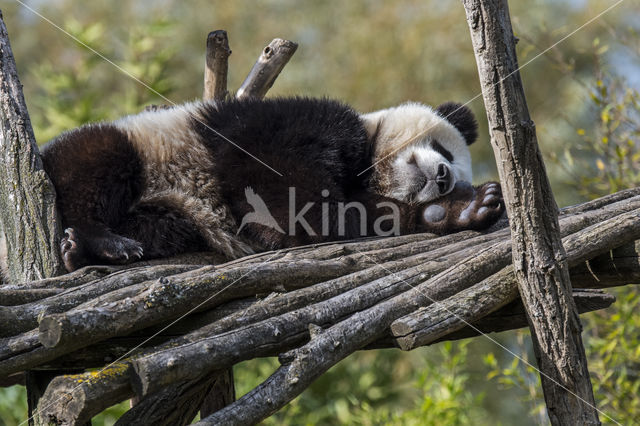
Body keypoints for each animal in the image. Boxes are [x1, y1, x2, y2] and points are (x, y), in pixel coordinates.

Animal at [5, 95, 504, 272]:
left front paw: (457, 210)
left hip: (174, 214)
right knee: (95, 162)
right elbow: (282, 196)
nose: (442, 178)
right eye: (444, 151)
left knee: (162, 225)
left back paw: (90, 250)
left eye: (454, 174)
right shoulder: (283, 123)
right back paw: (102, 242)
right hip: (136, 146)